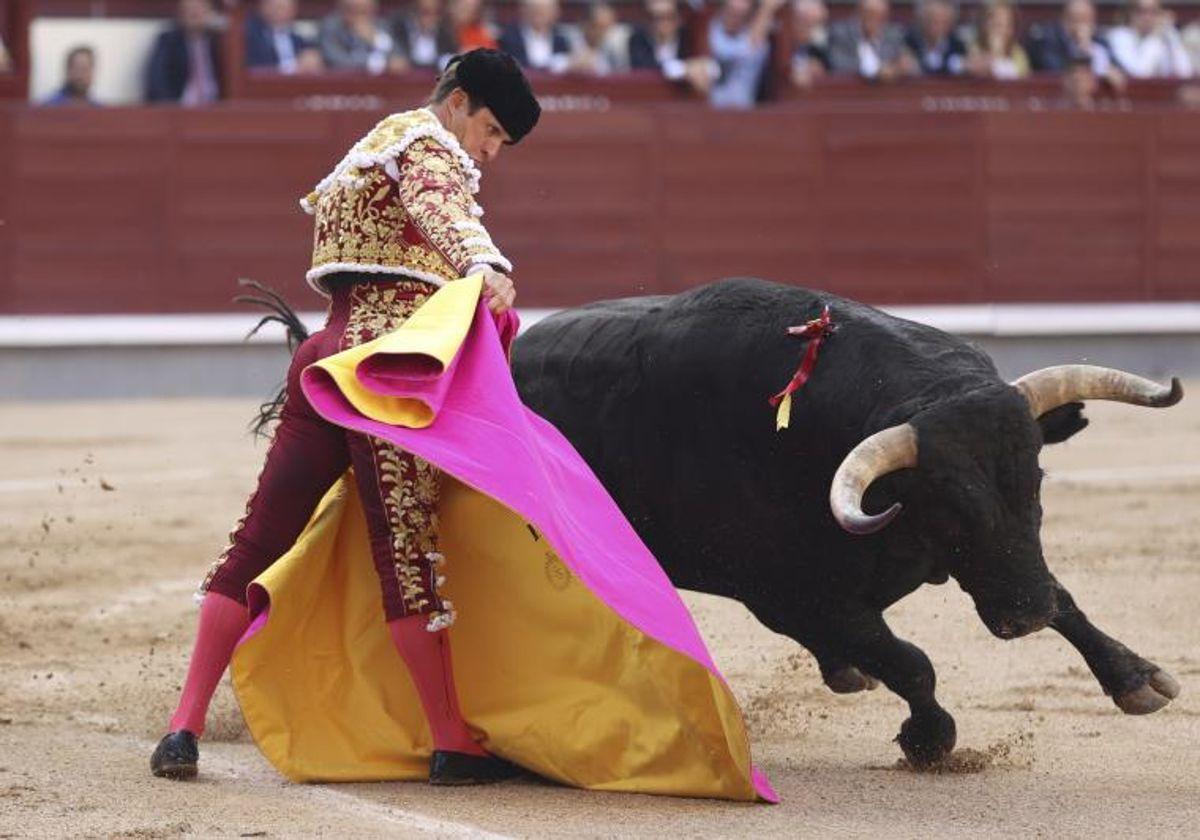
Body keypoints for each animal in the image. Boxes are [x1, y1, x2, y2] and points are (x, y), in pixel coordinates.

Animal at [511, 278, 1185, 763]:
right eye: (949, 507)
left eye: (1037, 482)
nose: (1026, 616)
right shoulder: (791, 596)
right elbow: (912, 662)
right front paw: (928, 741)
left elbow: (1064, 595)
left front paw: (1138, 679)